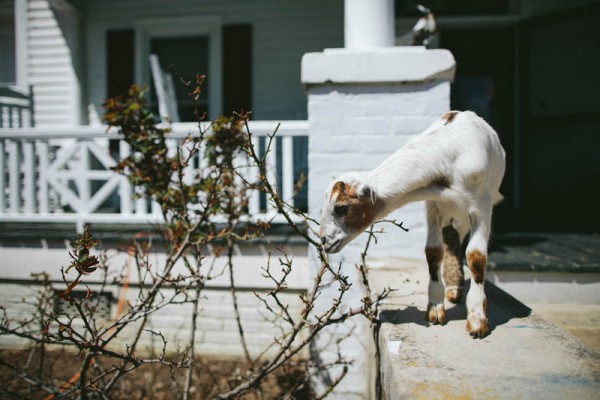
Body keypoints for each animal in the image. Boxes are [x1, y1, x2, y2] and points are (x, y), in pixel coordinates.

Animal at [322, 109, 504, 338]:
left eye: (341, 208)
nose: (324, 241)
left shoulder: (481, 205)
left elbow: (476, 255)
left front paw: (477, 320)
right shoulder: (433, 203)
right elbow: (433, 251)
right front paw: (435, 308)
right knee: (450, 234)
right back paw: (452, 288)